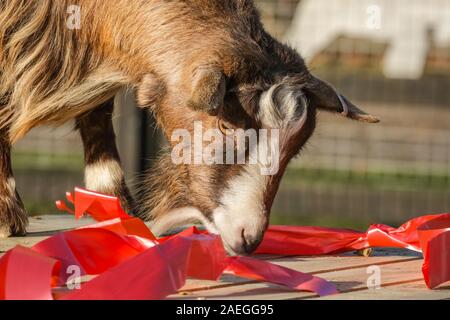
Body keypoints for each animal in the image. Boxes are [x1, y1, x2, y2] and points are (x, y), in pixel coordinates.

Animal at [0, 0, 378, 255]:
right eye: (225, 125)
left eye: (294, 149)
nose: (247, 236)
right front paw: (7, 216)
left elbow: (97, 112)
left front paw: (115, 205)